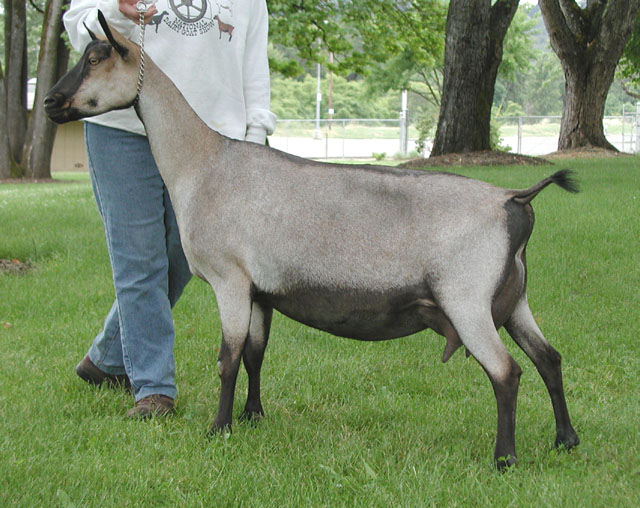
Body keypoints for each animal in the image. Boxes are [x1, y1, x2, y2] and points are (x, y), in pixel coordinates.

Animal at [45, 13, 579, 469]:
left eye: (96, 57)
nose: (50, 102)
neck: (203, 164)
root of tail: (514, 200)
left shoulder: (229, 279)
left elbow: (227, 359)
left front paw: (218, 429)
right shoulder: (260, 290)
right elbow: (255, 355)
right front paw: (252, 417)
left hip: (466, 299)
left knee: (507, 372)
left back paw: (505, 459)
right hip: (513, 299)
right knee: (549, 358)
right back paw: (566, 440)